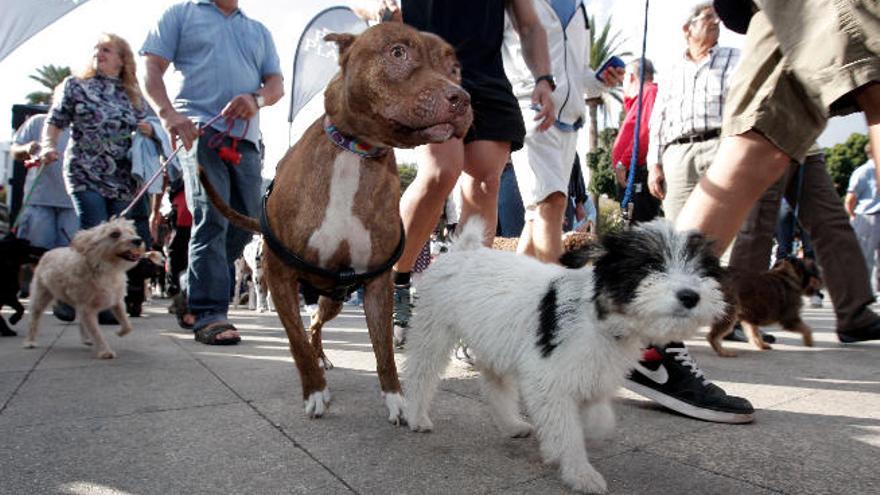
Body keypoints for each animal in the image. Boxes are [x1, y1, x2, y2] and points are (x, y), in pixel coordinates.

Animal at [23, 219, 150, 358]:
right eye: (114, 234)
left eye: (131, 232)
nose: (138, 240)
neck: (104, 269)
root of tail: (48, 252)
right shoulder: (87, 308)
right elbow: (96, 332)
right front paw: (105, 351)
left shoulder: (117, 301)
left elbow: (127, 325)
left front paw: (120, 332)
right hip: (41, 297)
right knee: (33, 319)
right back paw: (30, 341)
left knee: (81, 321)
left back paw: (86, 339)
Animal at [200, 23, 474, 422]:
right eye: (397, 52)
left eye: (455, 68)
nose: (462, 98)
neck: (355, 152)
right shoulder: (280, 278)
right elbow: (296, 343)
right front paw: (315, 391)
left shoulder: (376, 285)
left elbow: (384, 351)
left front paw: (396, 400)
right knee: (309, 329)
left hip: (335, 298)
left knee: (316, 323)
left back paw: (325, 357)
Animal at [402, 219, 724, 494]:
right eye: (650, 265)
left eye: (701, 270)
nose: (690, 296)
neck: (597, 315)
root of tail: (463, 251)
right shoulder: (547, 380)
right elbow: (566, 428)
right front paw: (580, 471)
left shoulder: (591, 371)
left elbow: (598, 415)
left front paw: (592, 431)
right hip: (434, 329)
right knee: (421, 372)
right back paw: (416, 415)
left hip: (495, 340)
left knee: (495, 384)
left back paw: (511, 423)